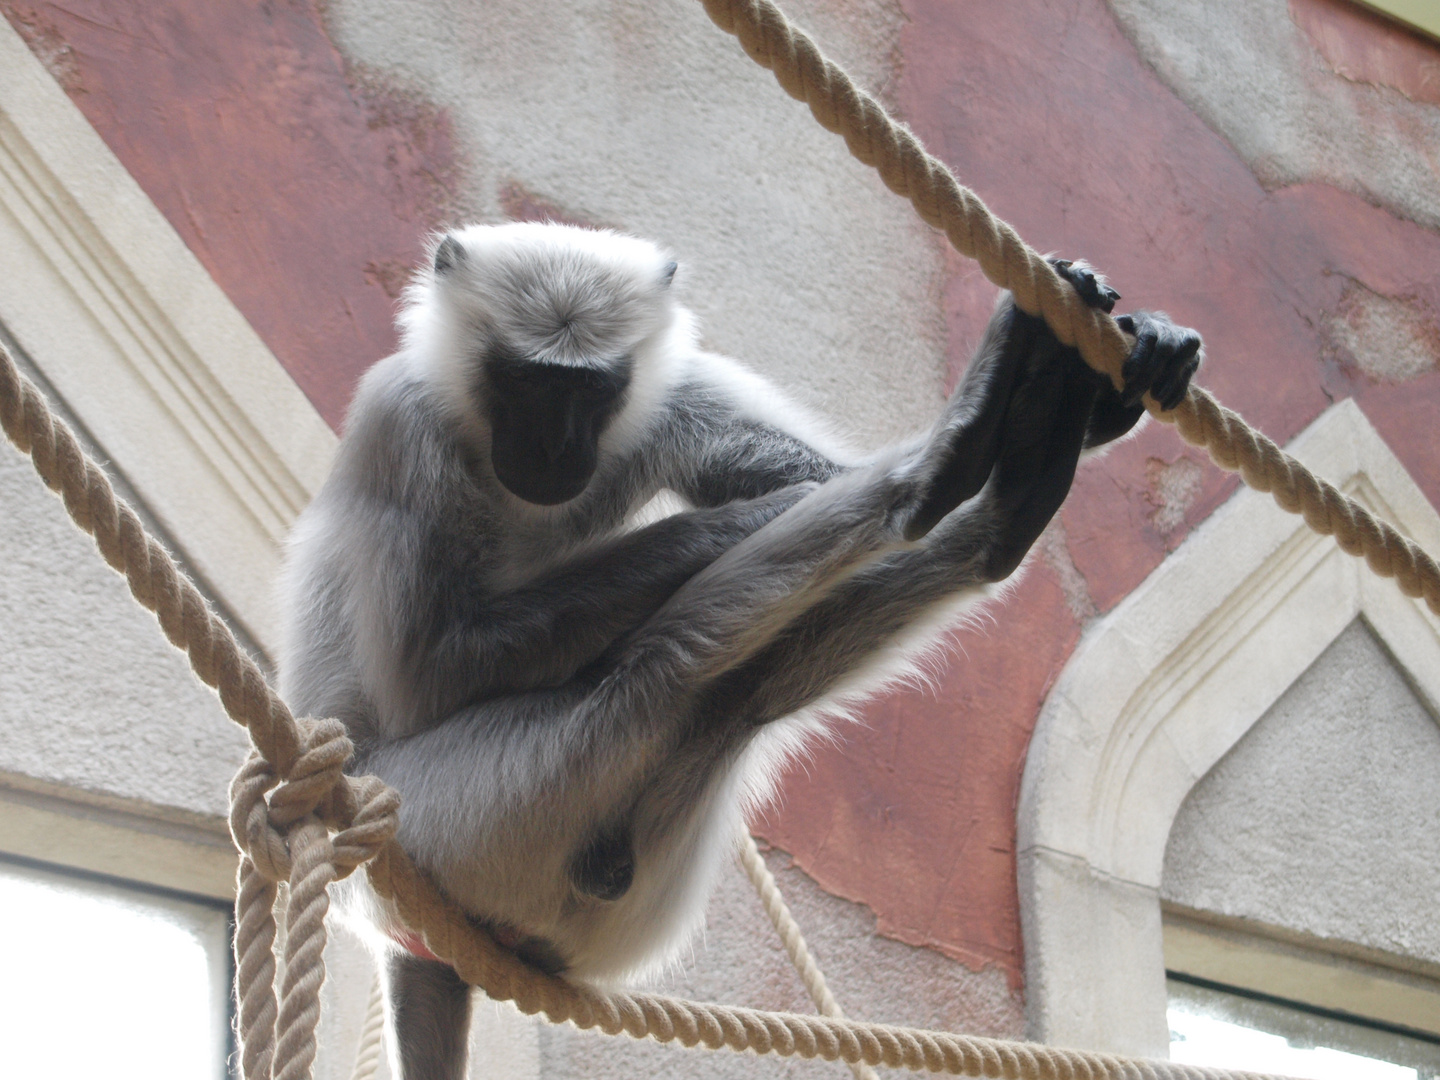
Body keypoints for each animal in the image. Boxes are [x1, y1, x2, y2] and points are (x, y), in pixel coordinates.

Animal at [277, 221, 1203, 1080]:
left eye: (590, 391)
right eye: (526, 383)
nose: (552, 448)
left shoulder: (669, 393)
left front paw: (1108, 389)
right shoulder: (403, 422)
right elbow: (431, 670)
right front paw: (778, 509)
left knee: (743, 697)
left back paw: (1013, 492)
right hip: (454, 804)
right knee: (665, 668)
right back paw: (939, 469)